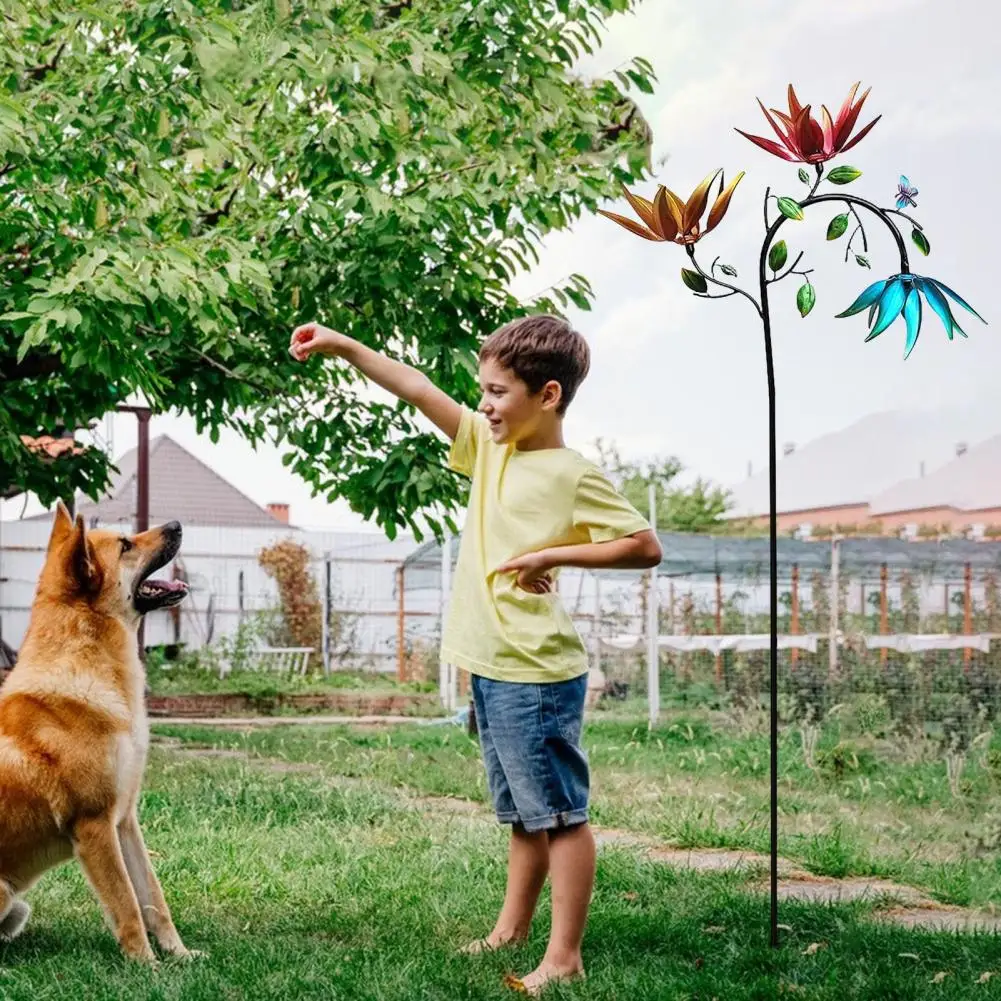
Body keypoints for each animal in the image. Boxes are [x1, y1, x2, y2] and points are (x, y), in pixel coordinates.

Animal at [0, 500, 195, 960]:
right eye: (126, 545)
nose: (177, 524)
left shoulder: (124, 821)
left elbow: (153, 898)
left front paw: (180, 957)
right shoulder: (95, 826)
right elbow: (127, 905)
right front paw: (147, 966)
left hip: (17, 906)